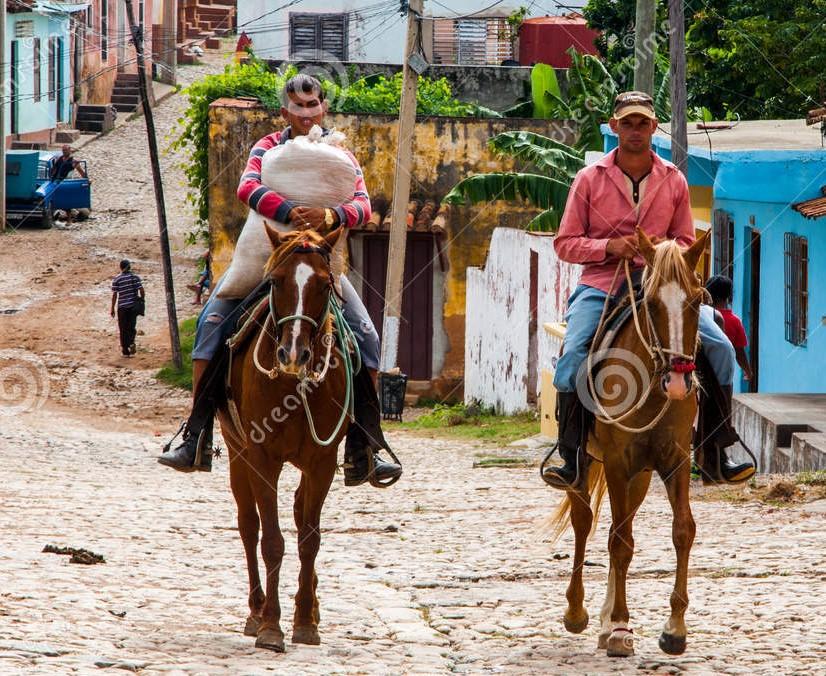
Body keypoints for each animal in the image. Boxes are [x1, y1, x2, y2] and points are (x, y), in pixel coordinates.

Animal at [214, 227, 350, 656]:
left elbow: (309, 539)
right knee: (248, 526)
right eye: (275, 282)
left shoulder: (323, 460)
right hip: (236, 453)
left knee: (297, 510)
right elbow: (271, 540)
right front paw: (271, 628)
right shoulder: (261, 458)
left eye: (324, 284)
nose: (292, 354)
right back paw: (256, 612)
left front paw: (305, 622)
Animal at [548, 230, 708, 656]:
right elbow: (620, 542)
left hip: (639, 476)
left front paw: (674, 629)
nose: (678, 381)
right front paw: (620, 625)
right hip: (589, 465)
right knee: (586, 524)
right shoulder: (618, 462)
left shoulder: (675, 461)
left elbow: (682, 530)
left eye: (697, 299)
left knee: (615, 528)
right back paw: (578, 613)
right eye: (650, 304)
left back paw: (604, 622)